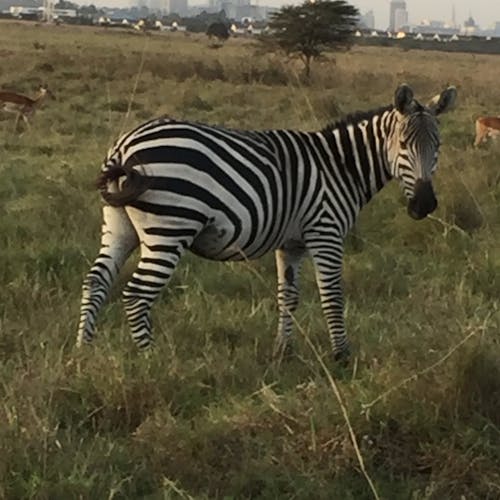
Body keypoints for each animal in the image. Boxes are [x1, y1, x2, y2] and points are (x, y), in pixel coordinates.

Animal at [77, 84, 458, 362]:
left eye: (438, 145)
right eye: (404, 144)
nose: (424, 205)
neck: (340, 166)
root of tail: (125, 145)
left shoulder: (291, 244)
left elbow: (287, 296)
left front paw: (282, 351)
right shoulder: (326, 232)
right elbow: (332, 296)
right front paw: (342, 357)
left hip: (119, 224)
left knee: (96, 281)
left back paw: (84, 351)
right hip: (170, 228)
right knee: (137, 294)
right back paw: (153, 359)